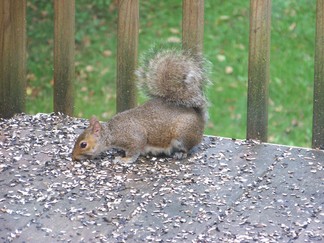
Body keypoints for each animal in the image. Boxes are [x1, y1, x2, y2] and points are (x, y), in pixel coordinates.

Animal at [71, 49, 210, 163]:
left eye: (83, 144)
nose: (74, 157)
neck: (112, 132)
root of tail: (198, 116)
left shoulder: (134, 138)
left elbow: (134, 151)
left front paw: (124, 159)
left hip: (183, 135)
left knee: (187, 148)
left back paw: (180, 153)